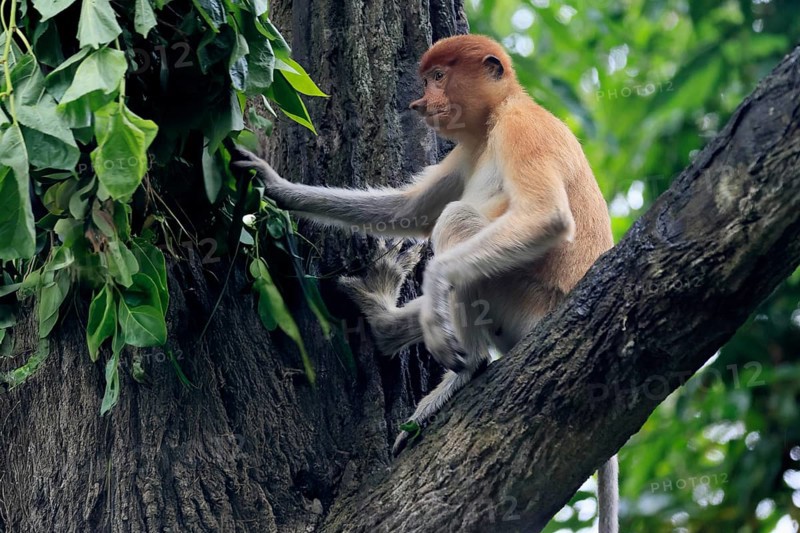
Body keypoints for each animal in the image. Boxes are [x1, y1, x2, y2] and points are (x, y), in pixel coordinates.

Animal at [232, 34, 618, 533]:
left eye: (438, 77)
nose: (420, 103)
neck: (497, 115)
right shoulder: (467, 148)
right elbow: (409, 208)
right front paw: (272, 183)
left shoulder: (522, 129)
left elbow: (543, 217)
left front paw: (435, 291)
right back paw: (385, 323)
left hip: (524, 300)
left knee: (458, 223)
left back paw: (465, 370)